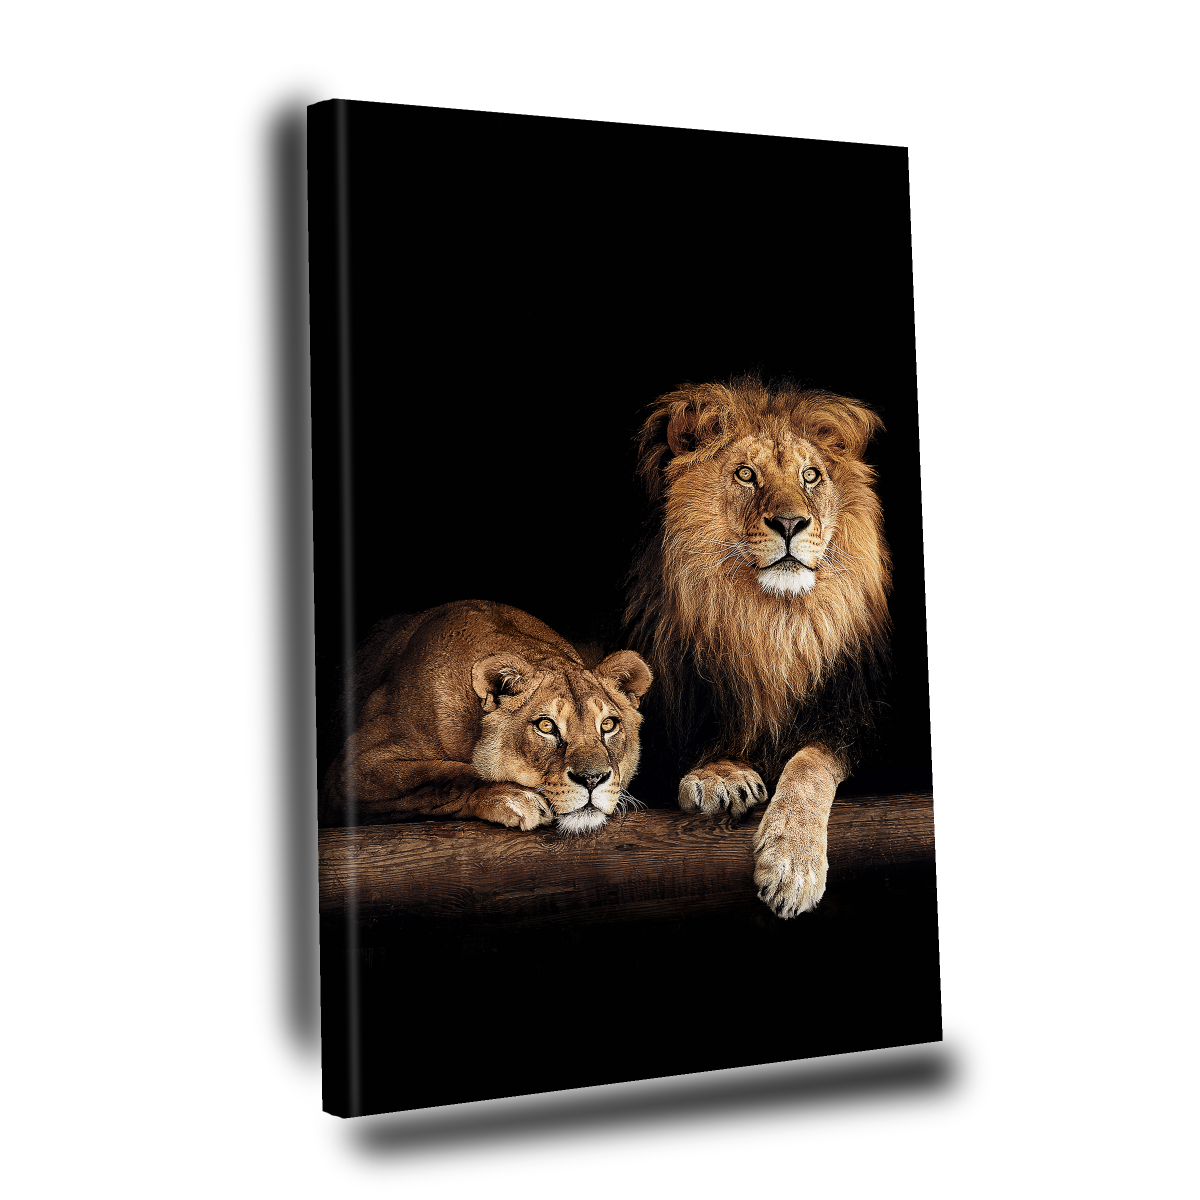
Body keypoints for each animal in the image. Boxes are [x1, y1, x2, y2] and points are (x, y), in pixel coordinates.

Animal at [319, 600, 653, 835]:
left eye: (608, 725)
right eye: (546, 726)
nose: (592, 779)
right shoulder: (353, 768)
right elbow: (446, 775)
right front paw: (515, 797)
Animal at [624, 375, 891, 917]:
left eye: (811, 476)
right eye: (746, 475)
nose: (790, 524)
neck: (771, 626)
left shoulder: (859, 721)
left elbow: (810, 762)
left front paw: (792, 864)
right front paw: (720, 776)